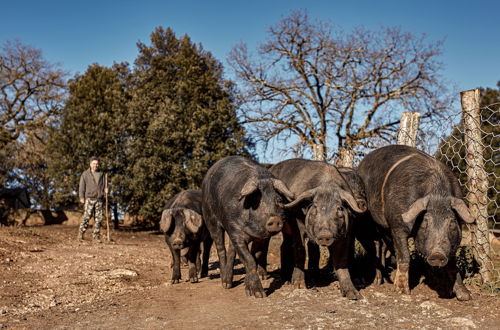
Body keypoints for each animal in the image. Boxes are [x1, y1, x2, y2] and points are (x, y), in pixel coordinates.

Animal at [200, 156, 294, 298]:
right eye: (256, 200)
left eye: (278, 200)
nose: (274, 219)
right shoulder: (235, 231)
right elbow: (249, 260)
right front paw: (259, 294)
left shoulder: (262, 238)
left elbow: (255, 256)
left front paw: (250, 290)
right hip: (211, 219)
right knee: (221, 248)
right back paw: (225, 284)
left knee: (231, 250)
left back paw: (229, 282)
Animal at [360, 144, 472, 300]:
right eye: (425, 221)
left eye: (451, 222)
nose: (437, 254)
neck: (437, 194)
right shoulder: (397, 226)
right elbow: (405, 257)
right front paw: (402, 291)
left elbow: (452, 264)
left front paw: (465, 296)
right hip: (372, 223)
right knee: (377, 247)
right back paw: (378, 282)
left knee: (385, 248)